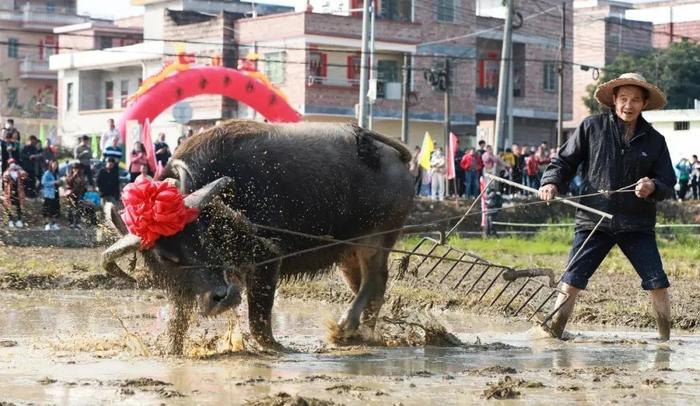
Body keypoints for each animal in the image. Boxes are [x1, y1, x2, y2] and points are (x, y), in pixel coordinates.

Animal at [101, 119, 412, 352]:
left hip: (376, 238)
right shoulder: (186, 286)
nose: (221, 298)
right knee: (369, 286)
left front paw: (277, 347)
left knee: (375, 280)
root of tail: (391, 154)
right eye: (166, 257)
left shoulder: (267, 258)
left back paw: (345, 327)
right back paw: (363, 332)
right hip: (348, 252)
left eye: (202, 236)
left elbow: (259, 320)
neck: (225, 204)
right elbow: (177, 322)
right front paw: (172, 349)